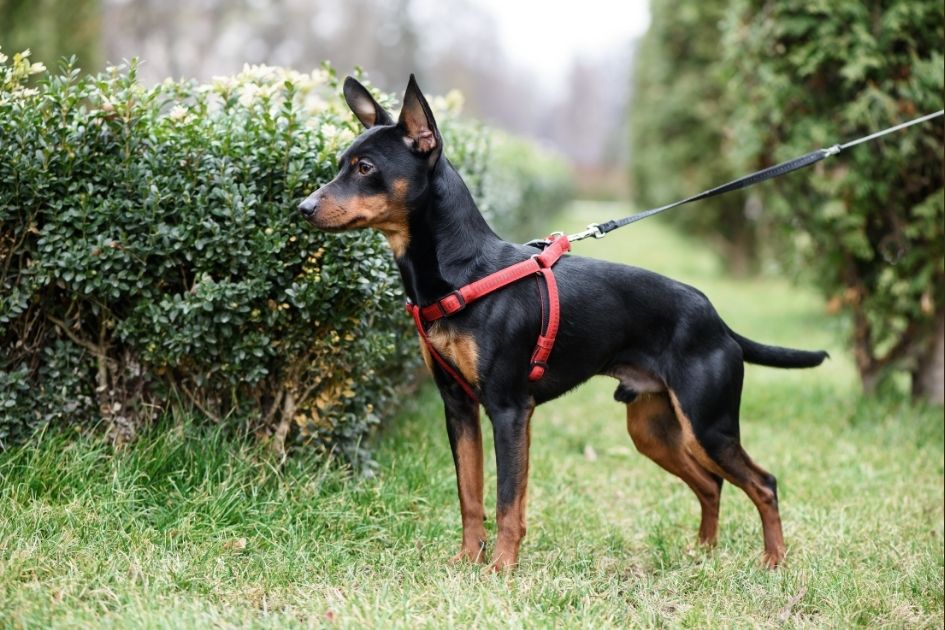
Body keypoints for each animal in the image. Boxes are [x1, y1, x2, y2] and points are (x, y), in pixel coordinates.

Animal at [298, 74, 824, 572]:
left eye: (366, 168)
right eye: (340, 164)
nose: (303, 208)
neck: (463, 271)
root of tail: (716, 320)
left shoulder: (510, 410)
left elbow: (508, 500)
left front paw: (500, 568)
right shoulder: (459, 408)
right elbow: (470, 495)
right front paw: (468, 559)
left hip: (707, 424)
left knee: (763, 482)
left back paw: (773, 561)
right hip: (653, 429)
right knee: (711, 483)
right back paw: (704, 552)